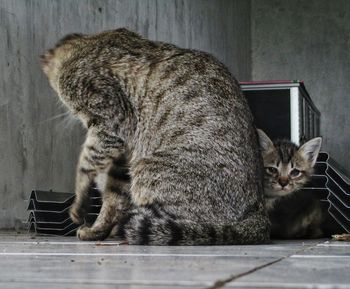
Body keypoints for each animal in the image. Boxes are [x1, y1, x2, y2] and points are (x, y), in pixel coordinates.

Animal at [39, 29, 270, 244]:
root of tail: (259, 209)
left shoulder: (111, 120)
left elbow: (86, 166)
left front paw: (80, 203)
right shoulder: (124, 156)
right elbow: (114, 197)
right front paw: (97, 229)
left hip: (148, 170)